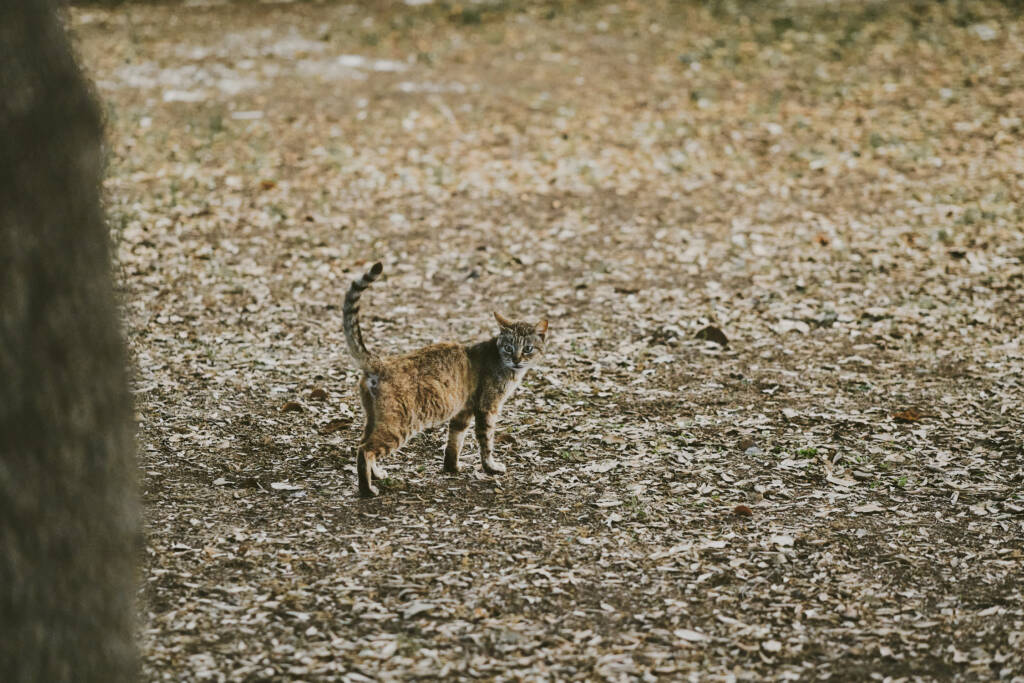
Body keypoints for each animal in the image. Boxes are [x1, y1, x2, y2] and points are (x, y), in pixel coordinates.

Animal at [342, 262, 552, 497]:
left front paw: (452, 467)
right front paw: (490, 467)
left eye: (528, 349)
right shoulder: (487, 408)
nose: (516, 359)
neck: (499, 359)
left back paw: (376, 475)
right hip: (397, 425)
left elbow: (455, 441)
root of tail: (381, 363)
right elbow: (486, 442)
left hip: (373, 419)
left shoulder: (463, 410)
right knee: (365, 450)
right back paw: (367, 488)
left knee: (362, 444)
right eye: (508, 348)